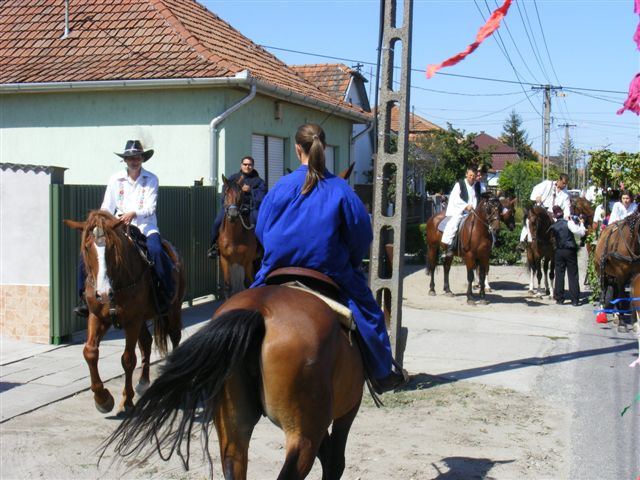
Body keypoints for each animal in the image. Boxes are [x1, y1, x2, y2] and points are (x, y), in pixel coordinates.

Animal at [63, 212, 184, 414]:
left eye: (112, 247)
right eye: (87, 247)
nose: (103, 293)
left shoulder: (132, 322)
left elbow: (128, 359)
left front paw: (126, 400)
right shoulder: (98, 317)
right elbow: (90, 352)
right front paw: (102, 399)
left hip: (172, 311)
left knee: (175, 338)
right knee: (146, 343)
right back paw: (143, 382)